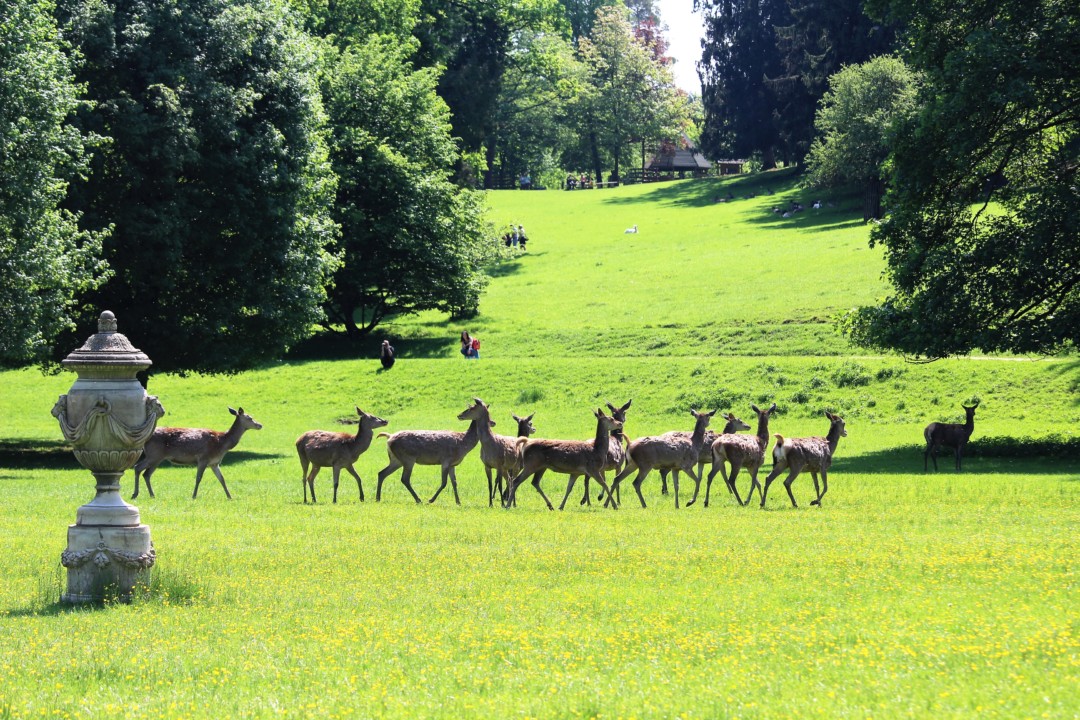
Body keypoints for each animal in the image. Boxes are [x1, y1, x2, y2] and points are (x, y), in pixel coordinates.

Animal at [132, 405, 263, 500]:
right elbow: (198, 478)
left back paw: (152, 495)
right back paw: (135, 494)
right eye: (250, 418)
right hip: (155, 455)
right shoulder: (203, 458)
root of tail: (145, 438)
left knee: (146, 473)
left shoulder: (214, 463)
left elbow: (222, 479)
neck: (222, 443)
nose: (260, 425)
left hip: (155, 457)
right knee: (138, 468)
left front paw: (230, 496)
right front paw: (194, 496)